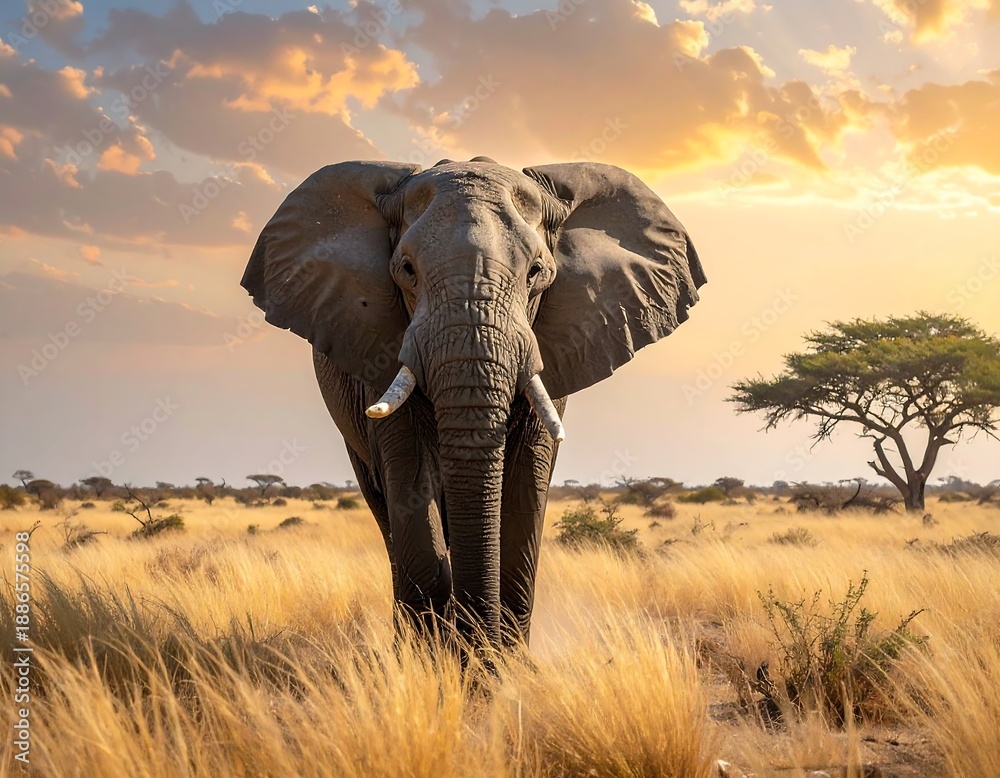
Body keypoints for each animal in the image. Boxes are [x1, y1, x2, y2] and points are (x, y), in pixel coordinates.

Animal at [240, 157, 706, 653]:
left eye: (536, 272)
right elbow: (411, 483)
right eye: (406, 269)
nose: (475, 647)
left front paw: (501, 663)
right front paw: (436, 662)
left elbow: (524, 490)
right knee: (384, 510)